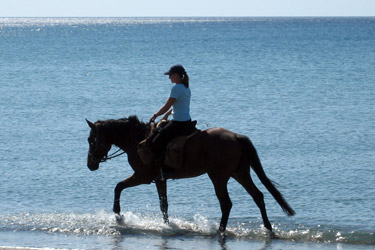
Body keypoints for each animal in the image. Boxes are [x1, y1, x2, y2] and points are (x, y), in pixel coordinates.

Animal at [86, 115, 296, 232]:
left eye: (91, 140)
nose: (90, 165)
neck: (137, 140)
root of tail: (237, 136)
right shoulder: (159, 179)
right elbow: (163, 204)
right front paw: (167, 225)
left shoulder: (143, 176)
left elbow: (118, 187)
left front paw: (118, 214)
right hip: (240, 173)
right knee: (257, 196)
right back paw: (268, 228)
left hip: (218, 176)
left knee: (226, 203)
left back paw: (220, 230)